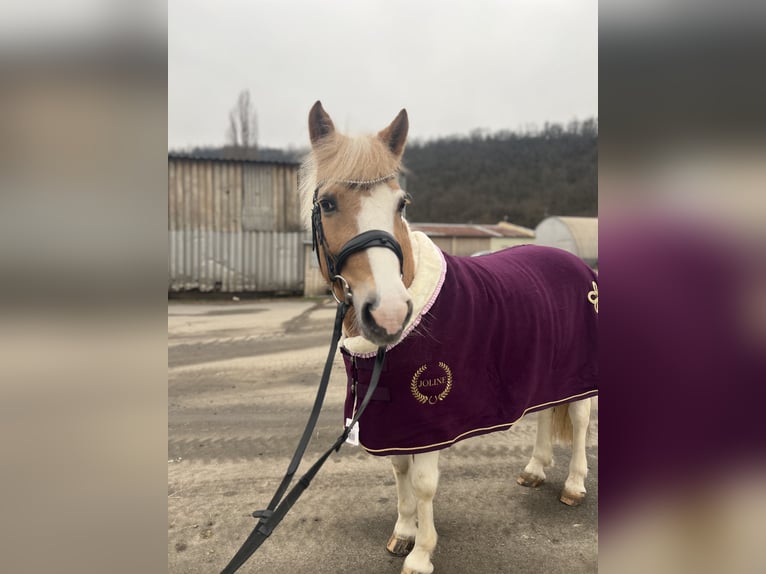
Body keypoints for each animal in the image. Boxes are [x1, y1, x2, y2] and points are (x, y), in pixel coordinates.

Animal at [301, 101, 598, 574]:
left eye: (401, 202)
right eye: (328, 203)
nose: (389, 312)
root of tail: (577, 264)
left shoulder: (430, 420)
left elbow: (423, 483)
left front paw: (421, 554)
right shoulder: (396, 419)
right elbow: (399, 472)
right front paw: (403, 533)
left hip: (580, 375)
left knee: (582, 418)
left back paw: (573, 485)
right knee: (545, 415)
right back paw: (534, 469)